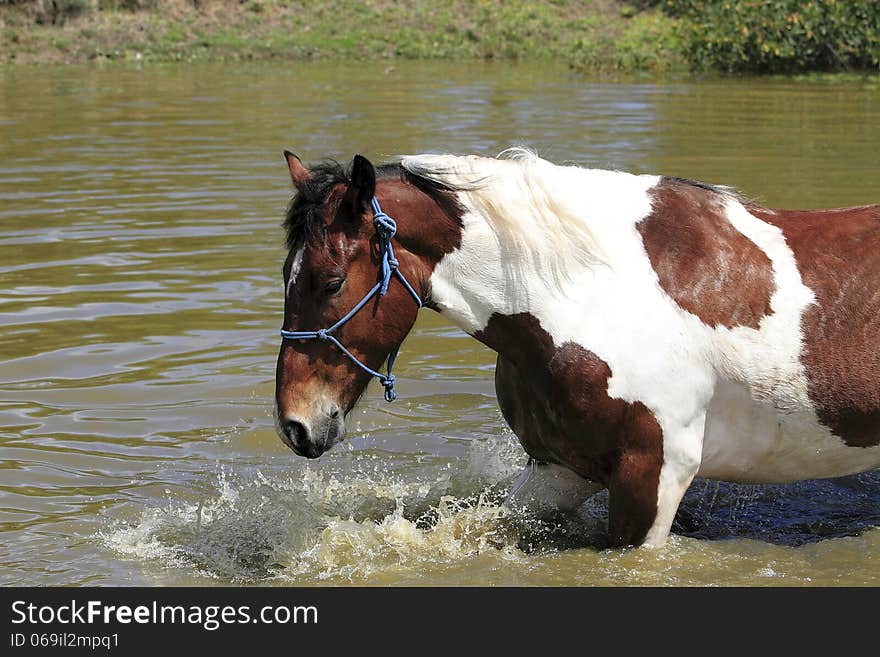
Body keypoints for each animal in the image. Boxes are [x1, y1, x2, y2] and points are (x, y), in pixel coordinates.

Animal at [274, 149, 880, 548]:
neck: (595, 292)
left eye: (330, 282)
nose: (296, 426)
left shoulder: (653, 478)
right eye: (286, 275)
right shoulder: (560, 468)